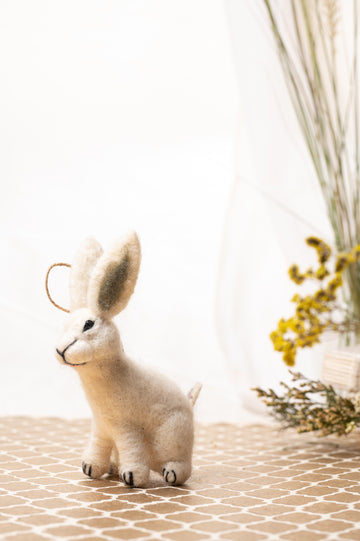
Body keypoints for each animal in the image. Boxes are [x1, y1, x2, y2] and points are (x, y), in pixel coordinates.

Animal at [53, 231, 201, 486]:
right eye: (65, 325)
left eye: (88, 325)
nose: (61, 350)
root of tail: (189, 403)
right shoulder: (101, 427)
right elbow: (98, 446)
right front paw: (90, 467)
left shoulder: (126, 427)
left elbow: (131, 448)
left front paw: (131, 476)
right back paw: (114, 467)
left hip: (171, 438)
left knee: (182, 467)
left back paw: (170, 473)